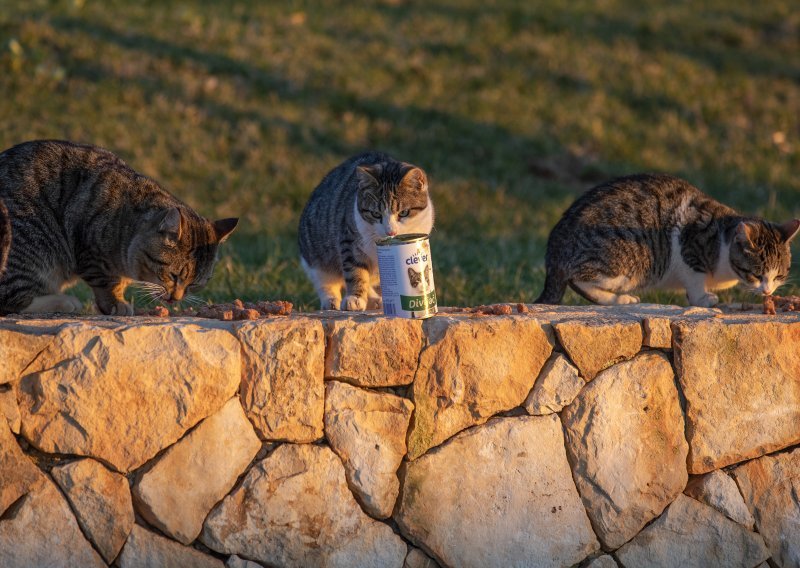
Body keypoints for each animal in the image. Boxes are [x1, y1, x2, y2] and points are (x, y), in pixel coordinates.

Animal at [0, 138, 238, 316]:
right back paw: (66, 301)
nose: (175, 299)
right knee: (11, 301)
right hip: (32, 247)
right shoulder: (91, 251)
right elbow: (107, 282)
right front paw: (115, 302)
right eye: (173, 276)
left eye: (194, 284)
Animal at [298, 151, 434, 310]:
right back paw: (330, 300)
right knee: (324, 280)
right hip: (316, 249)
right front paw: (355, 298)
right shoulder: (349, 239)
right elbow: (355, 271)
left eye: (404, 212)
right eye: (375, 214)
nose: (391, 232)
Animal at [536, 173, 800, 306]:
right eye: (756, 274)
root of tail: (553, 253)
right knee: (579, 279)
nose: (767, 291)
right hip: (628, 261)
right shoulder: (689, 248)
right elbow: (694, 279)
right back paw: (619, 299)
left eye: (779, 275)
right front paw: (702, 299)